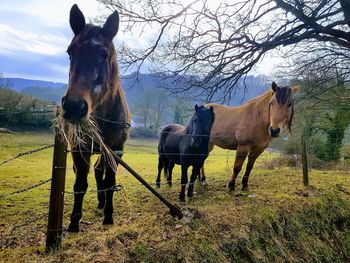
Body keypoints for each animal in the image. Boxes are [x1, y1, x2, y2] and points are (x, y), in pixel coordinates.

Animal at [60, 4, 131, 233]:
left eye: (104, 53)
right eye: (70, 51)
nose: (75, 106)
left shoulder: (116, 149)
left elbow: (110, 182)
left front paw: (109, 216)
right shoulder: (80, 148)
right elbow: (80, 184)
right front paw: (74, 222)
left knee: (101, 172)